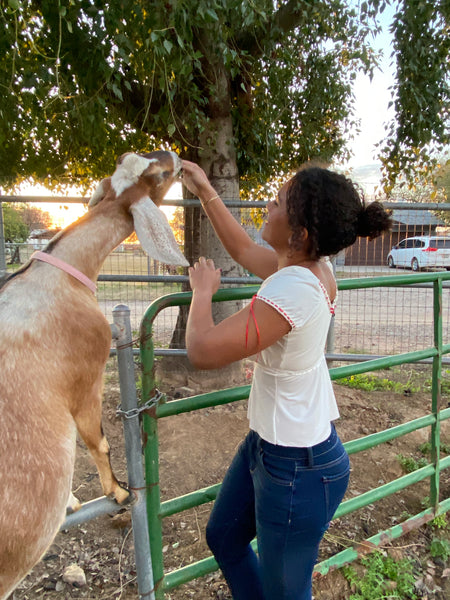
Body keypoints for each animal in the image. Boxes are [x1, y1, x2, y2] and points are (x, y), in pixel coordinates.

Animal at [0, 151, 187, 600]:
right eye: (160, 176)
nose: (175, 155)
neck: (60, 273)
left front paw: (70, 501)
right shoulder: (85, 378)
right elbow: (97, 441)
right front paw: (118, 491)